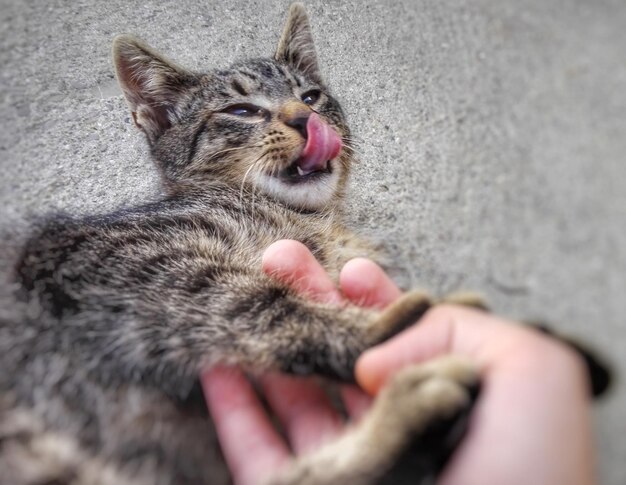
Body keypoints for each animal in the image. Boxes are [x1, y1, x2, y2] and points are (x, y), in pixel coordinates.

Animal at [0, 3, 604, 484]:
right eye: (241, 110)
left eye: (311, 95)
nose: (305, 116)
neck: (314, 222)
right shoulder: (120, 257)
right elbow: (262, 306)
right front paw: (394, 325)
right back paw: (416, 406)